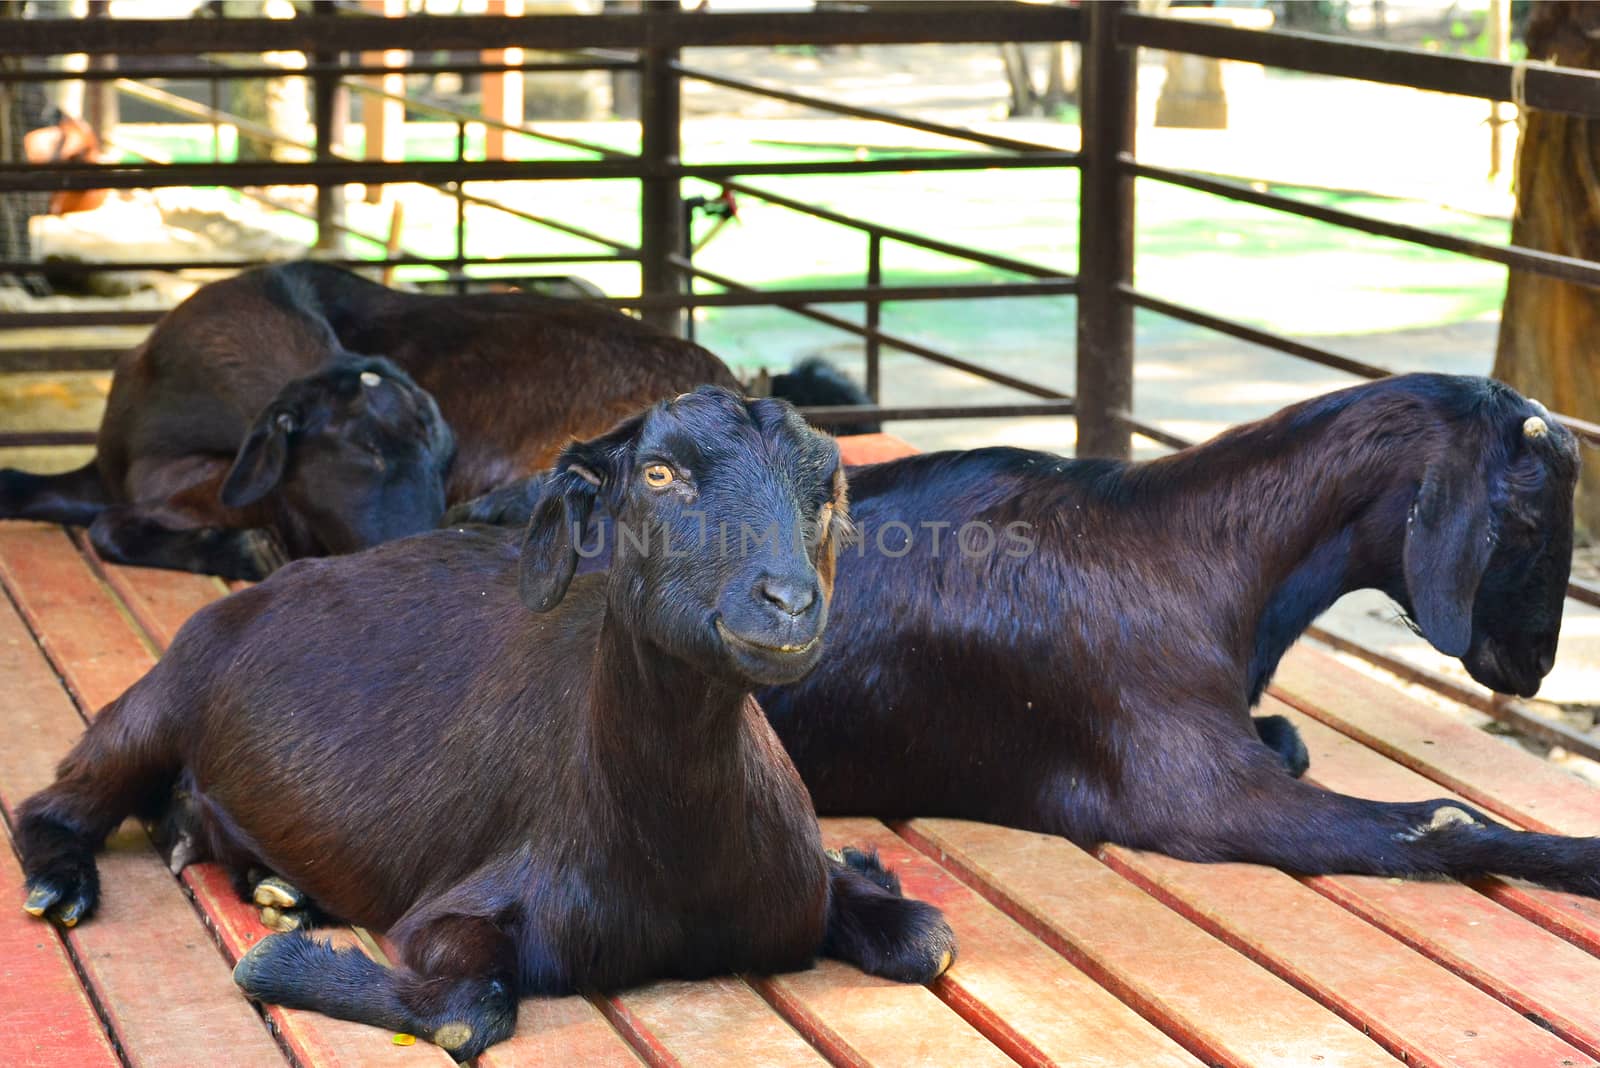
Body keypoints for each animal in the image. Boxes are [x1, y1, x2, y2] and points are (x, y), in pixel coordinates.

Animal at [15, 390, 947, 1061]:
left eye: (826, 492)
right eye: (657, 475)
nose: (787, 602)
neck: (683, 856)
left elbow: (929, 940)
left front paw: (866, 863)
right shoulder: (458, 907)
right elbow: (470, 1011)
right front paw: (275, 962)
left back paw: (270, 880)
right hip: (163, 697)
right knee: (54, 799)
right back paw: (63, 886)